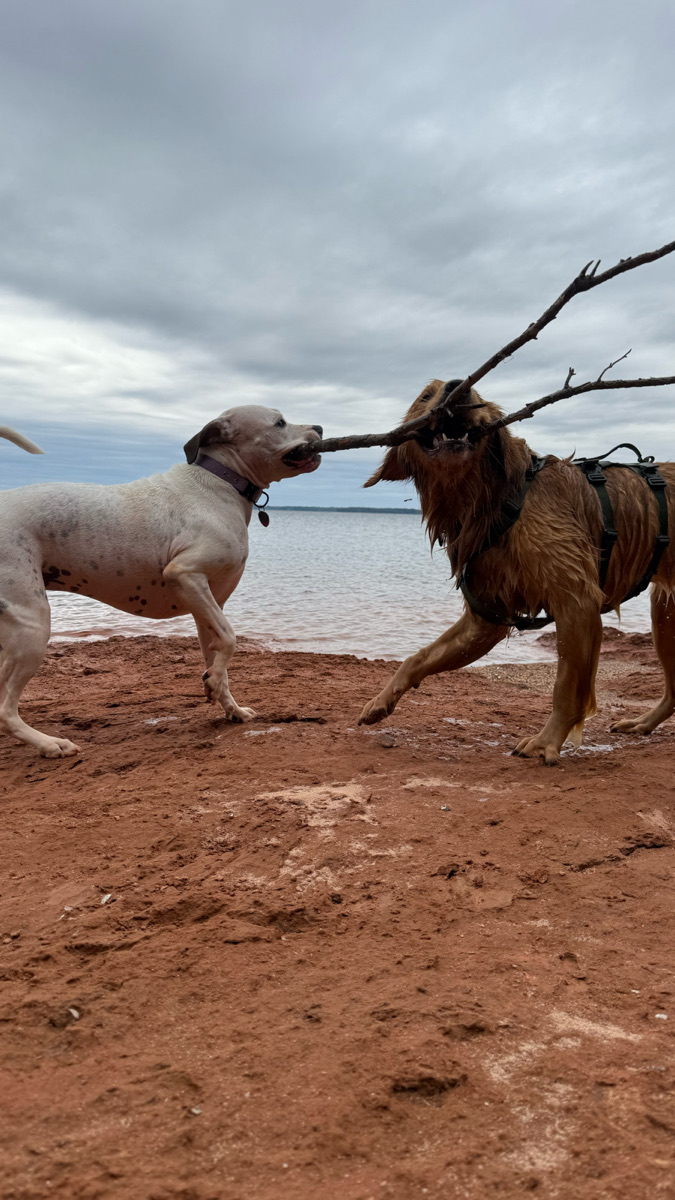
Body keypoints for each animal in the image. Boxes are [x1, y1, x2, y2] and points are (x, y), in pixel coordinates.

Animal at [0, 406, 321, 758]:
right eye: (279, 422)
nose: (320, 427)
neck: (221, 482)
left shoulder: (209, 607)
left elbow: (219, 657)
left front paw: (229, 706)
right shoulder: (186, 575)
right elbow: (231, 639)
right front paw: (215, 684)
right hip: (32, 625)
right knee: (6, 710)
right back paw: (50, 744)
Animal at [357, 379, 675, 764]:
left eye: (477, 396)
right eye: (426, 396)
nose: (457, 388)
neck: (492, 499)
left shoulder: (577, 601)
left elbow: (566, 687)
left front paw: (548, 740)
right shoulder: (486, 617)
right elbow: (417, 657)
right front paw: (382, 699)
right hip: (664, 615)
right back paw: (643, 723)